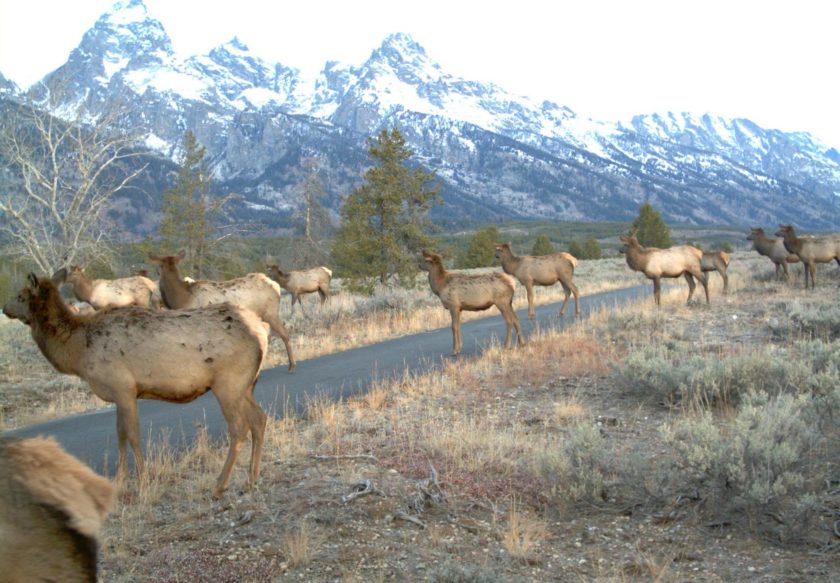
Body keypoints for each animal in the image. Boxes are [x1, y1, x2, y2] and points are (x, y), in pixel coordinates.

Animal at [3, 274, 270, 498]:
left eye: (21, 295)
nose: (5, 308)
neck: (77, 352)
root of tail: (261, 330)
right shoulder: (120, 393)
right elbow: (120, 434)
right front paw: (120, 481)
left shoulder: (123, 387)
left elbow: (131, 434)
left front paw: (142, 481)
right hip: (246, 385)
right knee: (259, 418)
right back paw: (251, 479)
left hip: (228, 382)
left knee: (239, 427)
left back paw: (220, 484)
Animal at [151, 250, 296, 370]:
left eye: (159, 268)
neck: (182, 298)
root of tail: (276, 285)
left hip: (270, 313)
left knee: (284, 333)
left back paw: (291, 366)